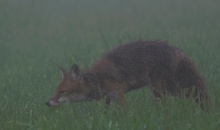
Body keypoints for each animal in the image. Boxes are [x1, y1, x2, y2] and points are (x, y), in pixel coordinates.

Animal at [46, 40, 208, 109]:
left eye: (63, 92)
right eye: (55, 91)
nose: (47, 102)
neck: (99, 78)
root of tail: (176, 50)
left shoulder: (118, 93)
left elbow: (125, 112)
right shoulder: (109, 97)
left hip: (163, 89)